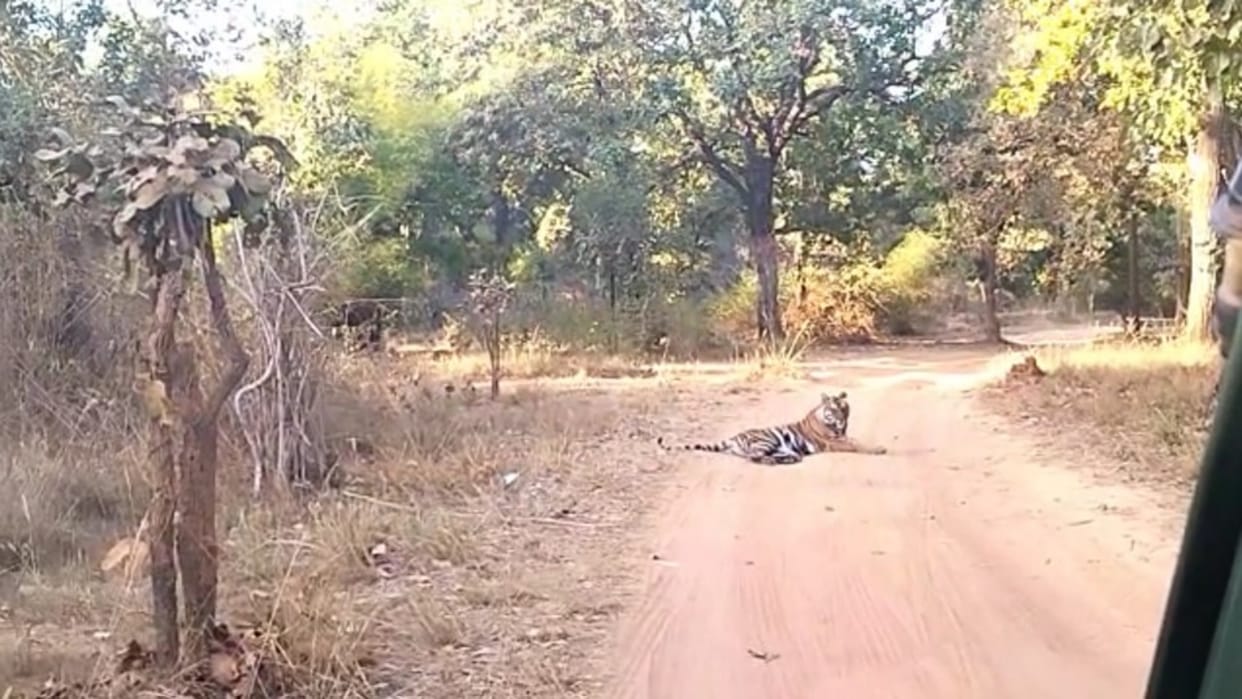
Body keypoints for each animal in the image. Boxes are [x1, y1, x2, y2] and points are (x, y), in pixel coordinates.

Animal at [656, 391, 887, 465]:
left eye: (844, 408)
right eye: (833, 409)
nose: (841, 420)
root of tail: (733, 437)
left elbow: (857, 440)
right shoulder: (834, 441)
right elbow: (858, 445)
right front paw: (879, 449)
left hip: (779, 447)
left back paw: (789, 459)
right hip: (768, 440)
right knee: (754, 458)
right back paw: (777, 461)